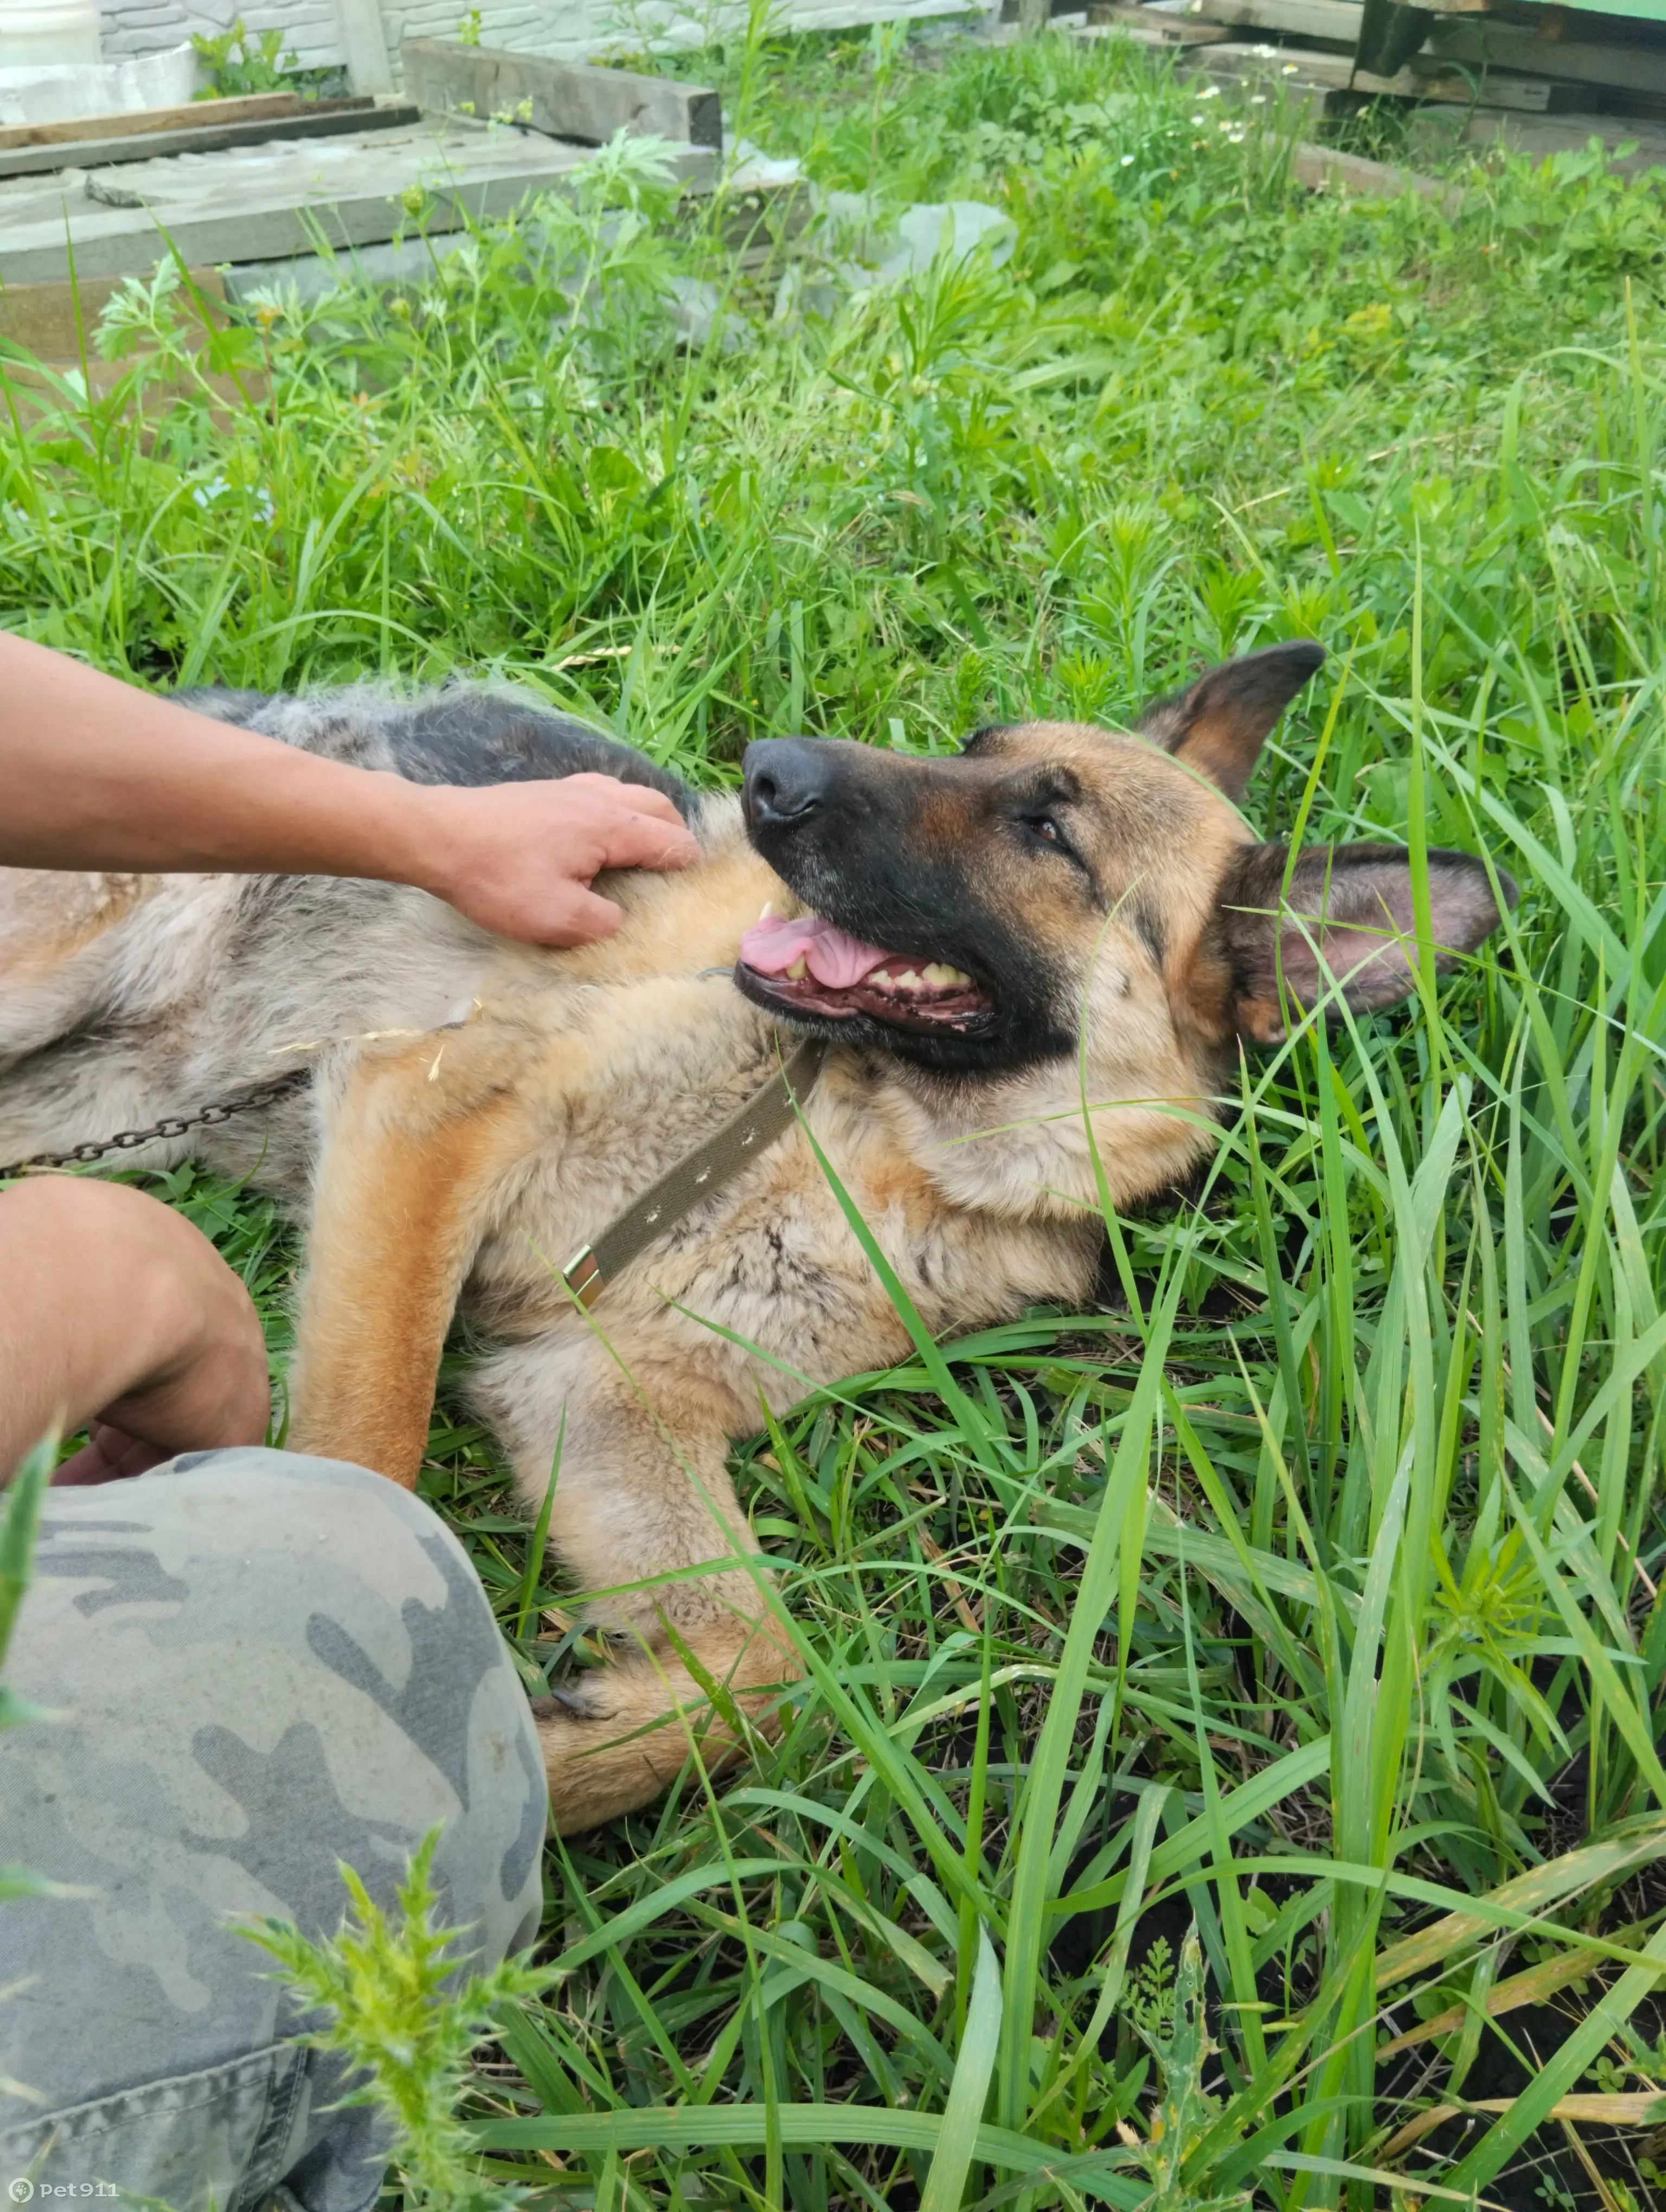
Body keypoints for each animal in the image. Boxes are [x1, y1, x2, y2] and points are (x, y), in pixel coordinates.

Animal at [0, 641, 1513, 1831]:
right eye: (972, 748)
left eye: (1049, 833)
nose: (766, 772)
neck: (868, 1134)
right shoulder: (427, 1112)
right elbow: (370, 1459)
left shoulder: (598, 1390)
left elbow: (768, 1676)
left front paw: (554, 1745)